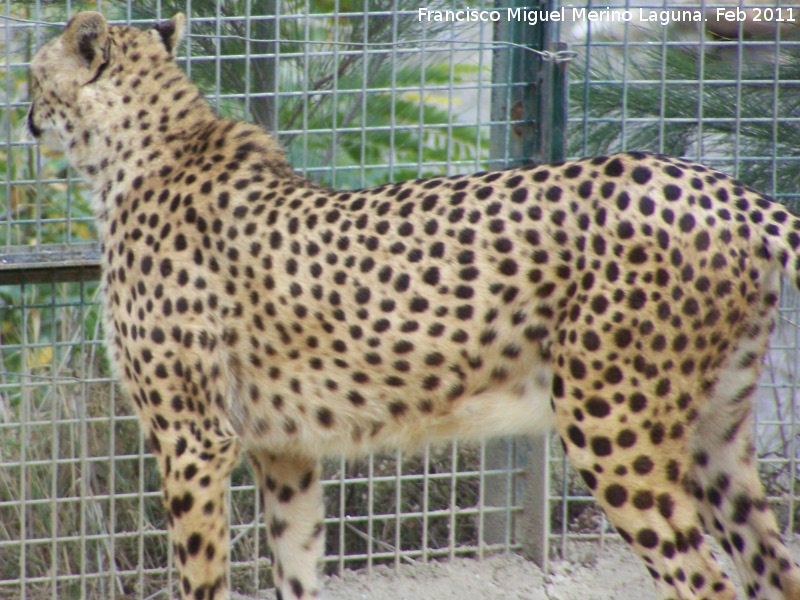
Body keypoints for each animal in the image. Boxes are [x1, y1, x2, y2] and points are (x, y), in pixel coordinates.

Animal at [26, 10, 800, 600]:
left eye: (33, 75)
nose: (26, 117)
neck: (141, 154)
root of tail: (721, 187)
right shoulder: (284, 446)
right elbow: (296, 563)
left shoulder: (193, 438)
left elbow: (202, 575)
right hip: (714, 438)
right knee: (773, 567)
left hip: (615, 431)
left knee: (705, 580)